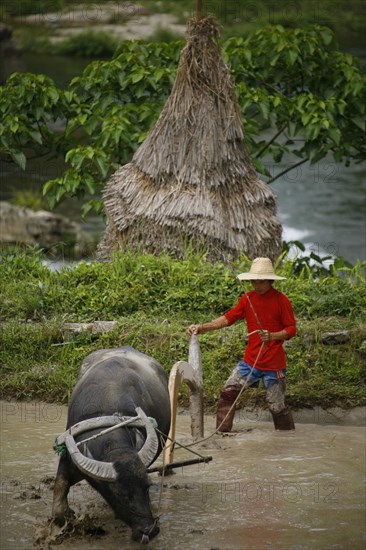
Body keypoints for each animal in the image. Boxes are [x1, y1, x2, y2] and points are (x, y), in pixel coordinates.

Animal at [51, 348, 172, 544]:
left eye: (147, 486)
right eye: (121, 495)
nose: (149, 530)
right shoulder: (69, 459)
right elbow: (58, 507)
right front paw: (68, 516)